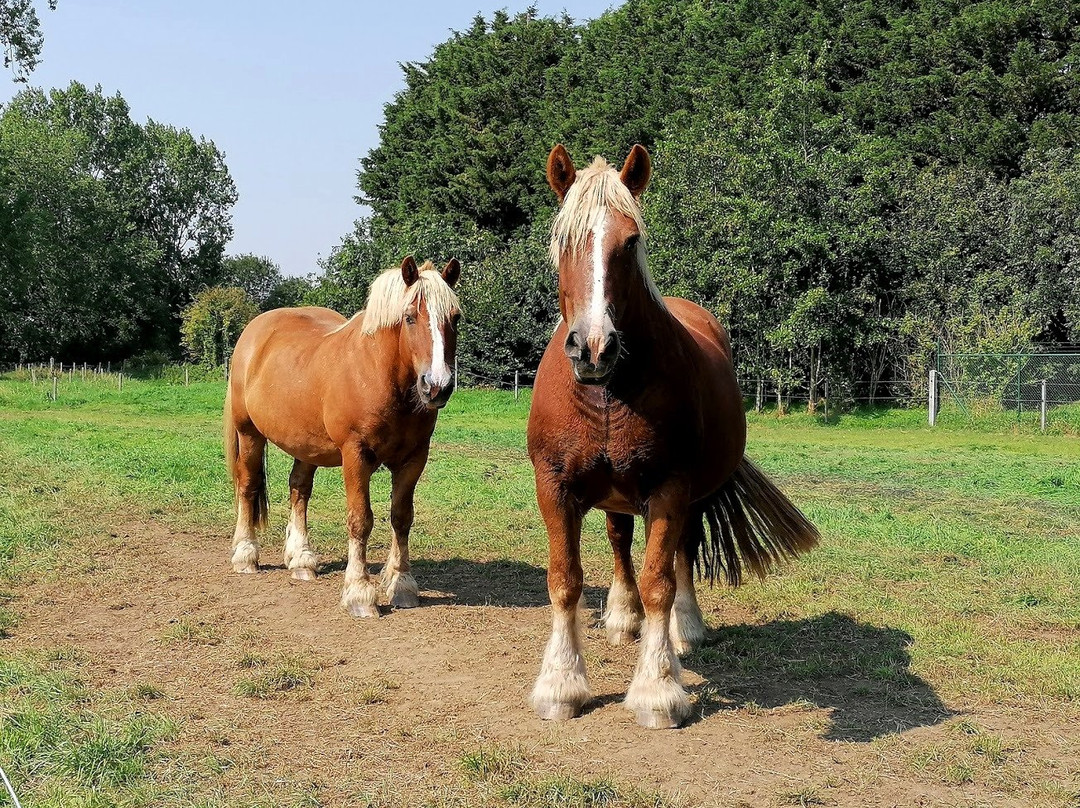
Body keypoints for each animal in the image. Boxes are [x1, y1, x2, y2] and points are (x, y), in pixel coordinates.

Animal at [225, 256, 462, 613]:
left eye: (455, 318)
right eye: (409, 318)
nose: (437, 386)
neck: (379, 373)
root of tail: (254, 333)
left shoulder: (414, 457)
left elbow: (402, 517)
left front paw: (401, 584)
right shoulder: (356, 455)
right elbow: (360, 519)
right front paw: (359, 592)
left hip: (304, 444)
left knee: (299, 489)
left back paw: (301, 560)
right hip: (249, 433)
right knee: (248, 486)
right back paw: (246, 555)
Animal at [529, 146, 816, 730]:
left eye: (630, 241)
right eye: (562, 238)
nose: (594, 348)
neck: (610, 392)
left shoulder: (670, 487)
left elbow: (660, 578)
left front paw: (658, 690)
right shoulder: (555, 486)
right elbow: (565, 578)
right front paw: (561, 684)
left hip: (691, 494)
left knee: (682, 551)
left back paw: (687, 627)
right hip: (613, 492)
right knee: (619, 539)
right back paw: (623, 617)